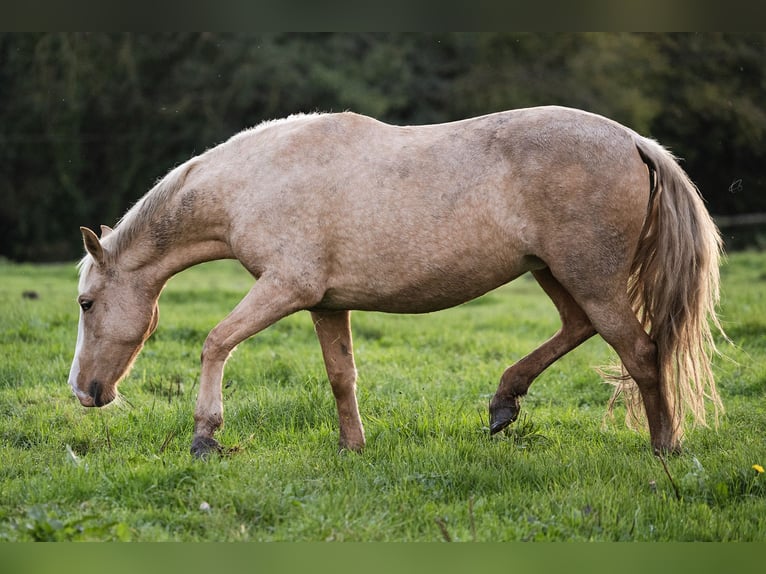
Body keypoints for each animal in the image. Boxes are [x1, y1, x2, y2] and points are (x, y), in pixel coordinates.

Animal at [67, 107, 728, 460]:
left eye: (87, 303)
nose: (84, 392)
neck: (255, 180)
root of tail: (635, 141)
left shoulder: (285, 288)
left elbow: (216, 341)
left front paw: (205, 435)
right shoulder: (323, 304)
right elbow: (341, 375)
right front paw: (352, 446)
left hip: (589, 278)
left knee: (641, 353)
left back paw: (665, 449)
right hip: (558, 274)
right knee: (580, 329)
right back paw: (503, 403)